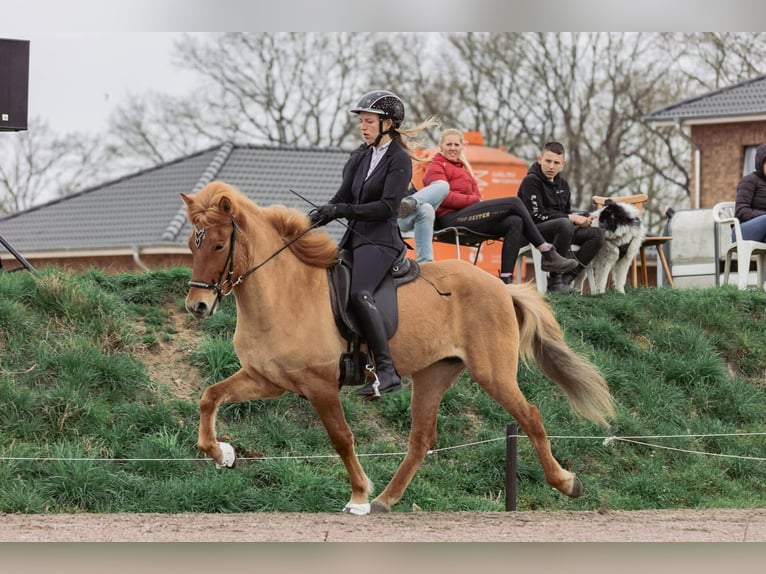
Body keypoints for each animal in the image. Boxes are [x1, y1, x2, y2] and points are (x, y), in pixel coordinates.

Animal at [181, 181, 615, 515]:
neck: (284, 291)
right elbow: (209, 397)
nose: (197, 306)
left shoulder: (319, 385)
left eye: (218, 246)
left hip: (492, 372)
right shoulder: (267, 379)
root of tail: (499, 284)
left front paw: (358, 495)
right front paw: (222, 454)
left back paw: (567, 483)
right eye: (191, 244)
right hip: (434, 373)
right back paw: (386, 501)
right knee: (421, 439)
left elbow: (342, 438)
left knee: (530, 416)